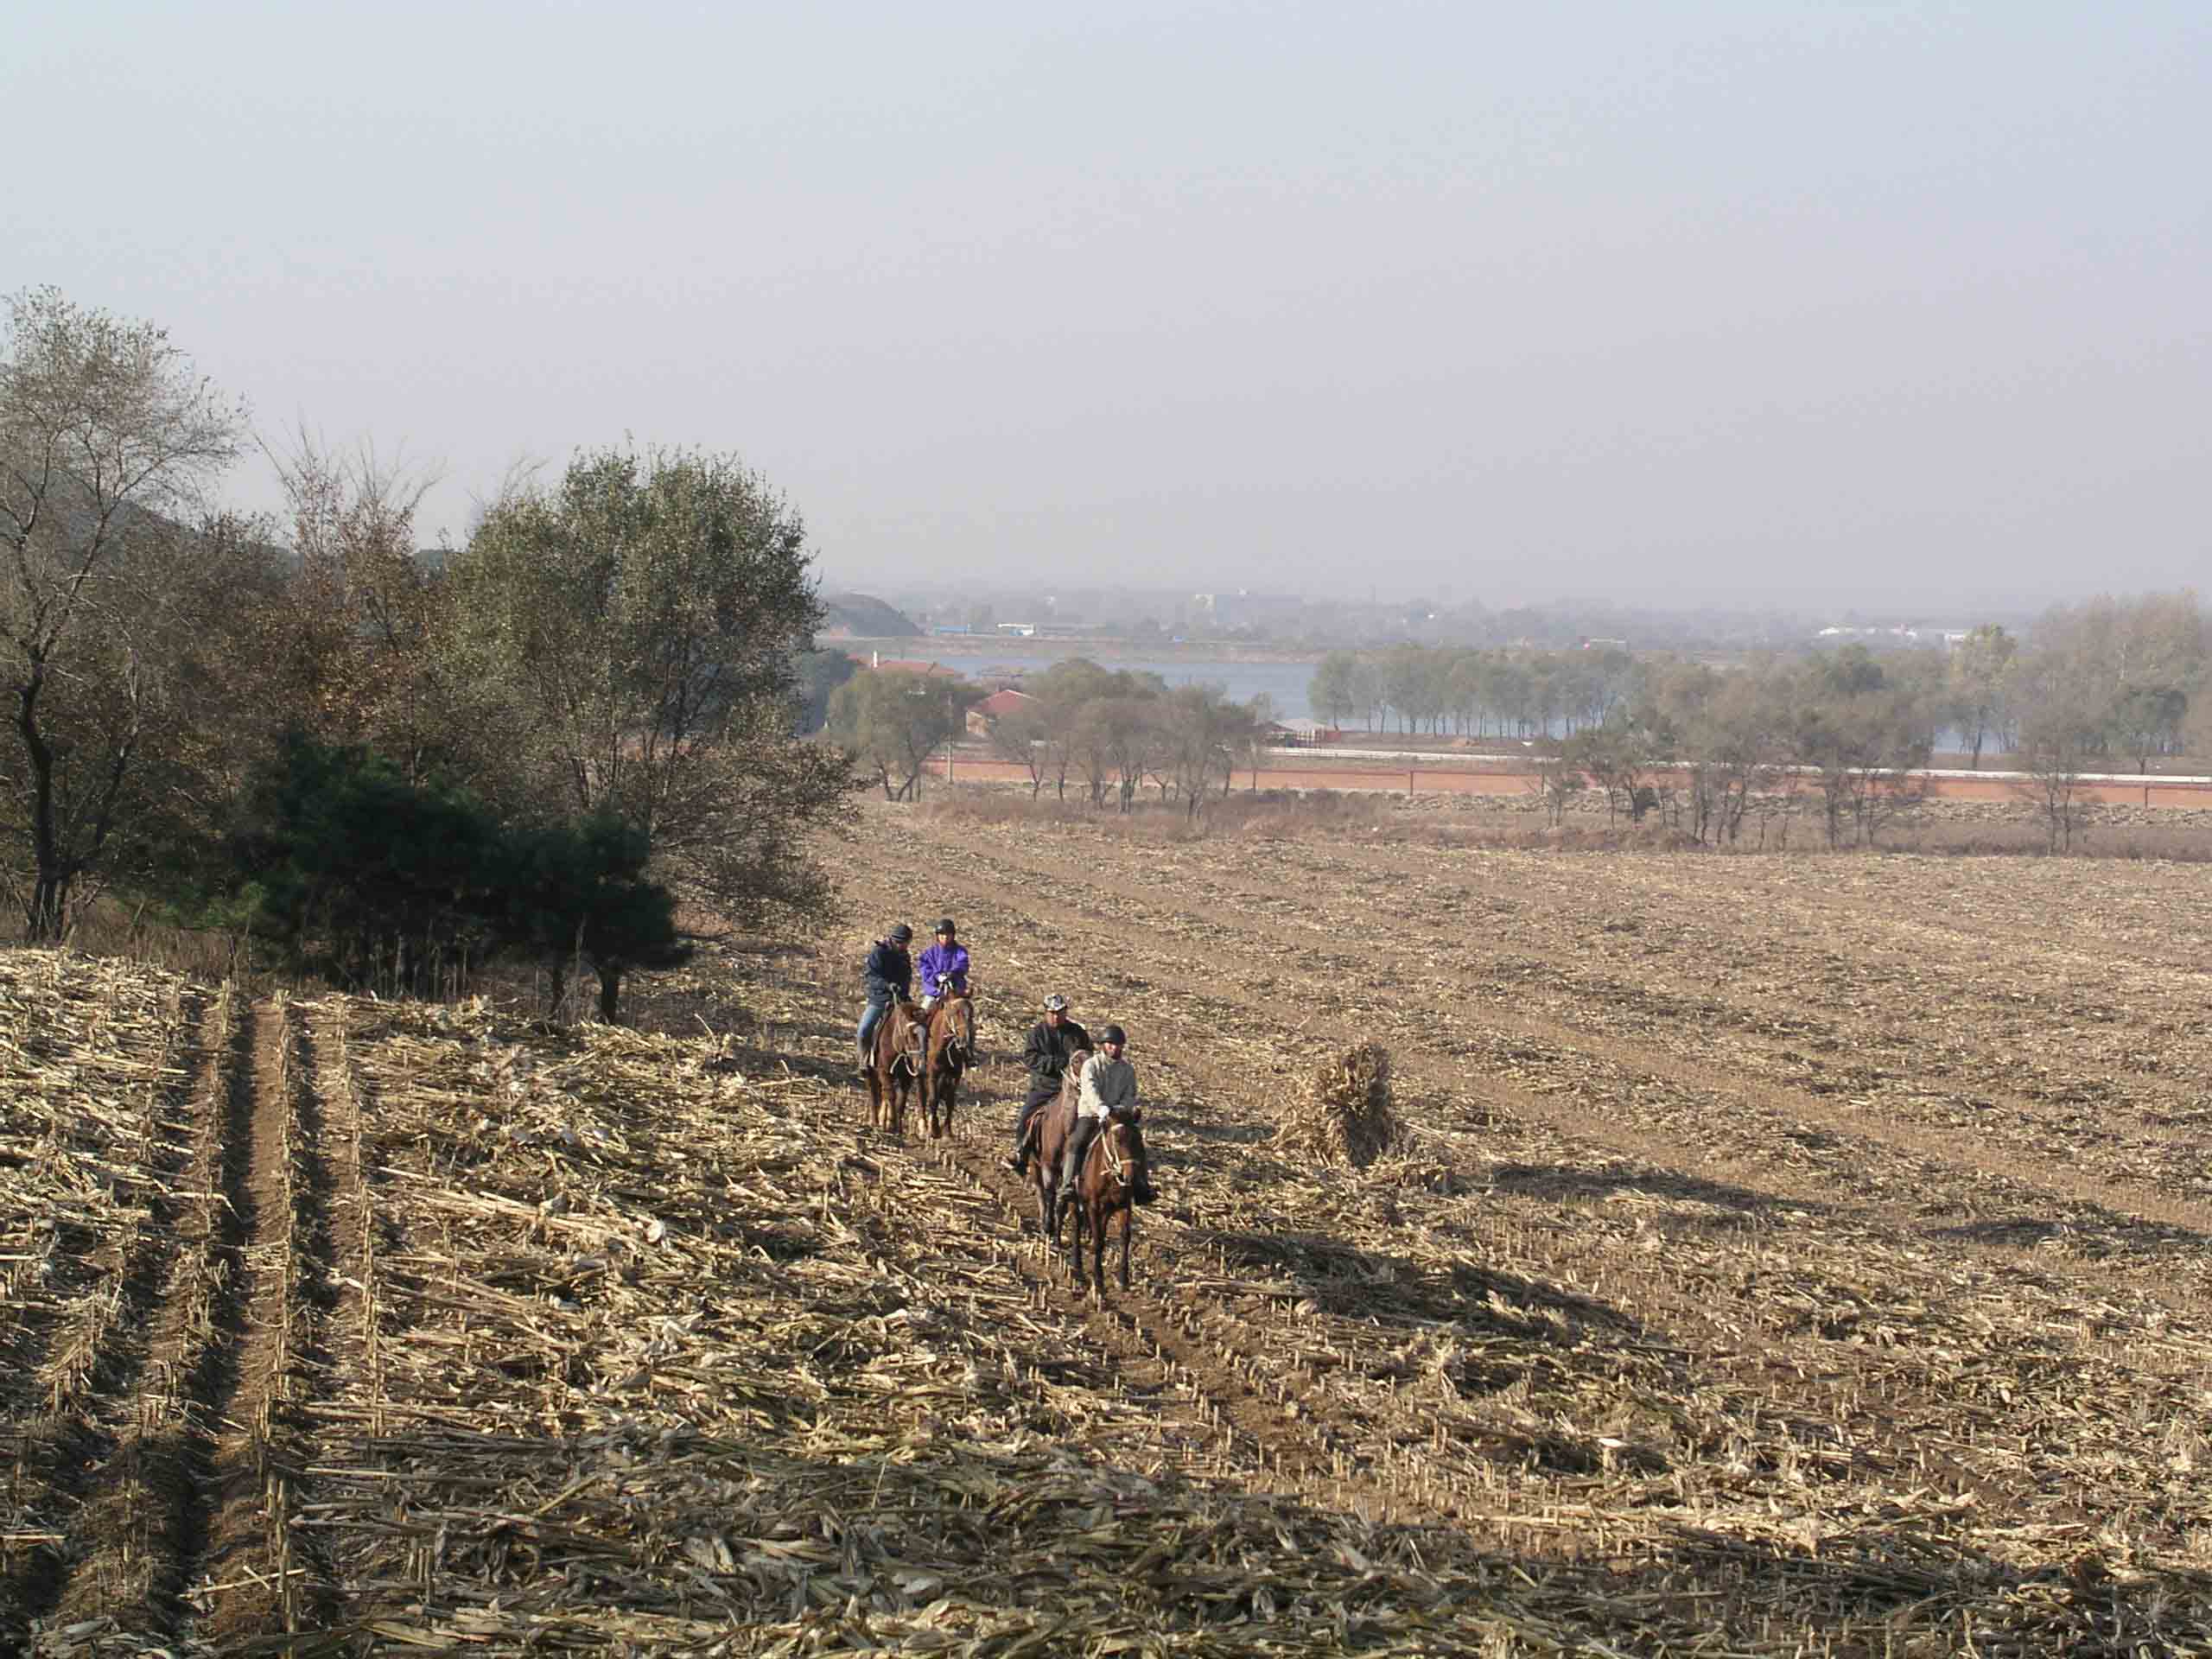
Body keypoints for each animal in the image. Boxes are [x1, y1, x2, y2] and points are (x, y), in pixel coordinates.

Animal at [862, 1000, 925, 1141]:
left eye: (927, 1035)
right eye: (911, 1036)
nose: (920, 1064)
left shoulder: (906, 1078)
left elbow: (901, 1100)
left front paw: (898, 1128)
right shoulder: (884, 1072)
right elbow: (891, 1096)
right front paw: (891, 1124)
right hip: (871, 1073)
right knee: (874, 1094)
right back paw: (875, 1121)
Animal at [925, 995, 977, 1141]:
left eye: (971, 1014)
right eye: (954, 1013)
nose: (965, 1041)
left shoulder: (955, 1074)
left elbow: (950, 1101)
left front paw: (947, 1131)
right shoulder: (932, 1073)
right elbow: (933, 1099)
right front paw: (935, 1129)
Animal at [1065, 1110, 1150, 1309]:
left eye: (1138, 1139)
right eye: (1117, 1140)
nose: (1131, 1177)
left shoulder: (1124, 1206)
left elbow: (1125, 1237)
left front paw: (1122, 1279)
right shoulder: (1094, 1206)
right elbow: (1099, 1242)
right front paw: (1099, 1283)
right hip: (1075, 1200)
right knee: (1076, 1226)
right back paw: (1077, 1267)